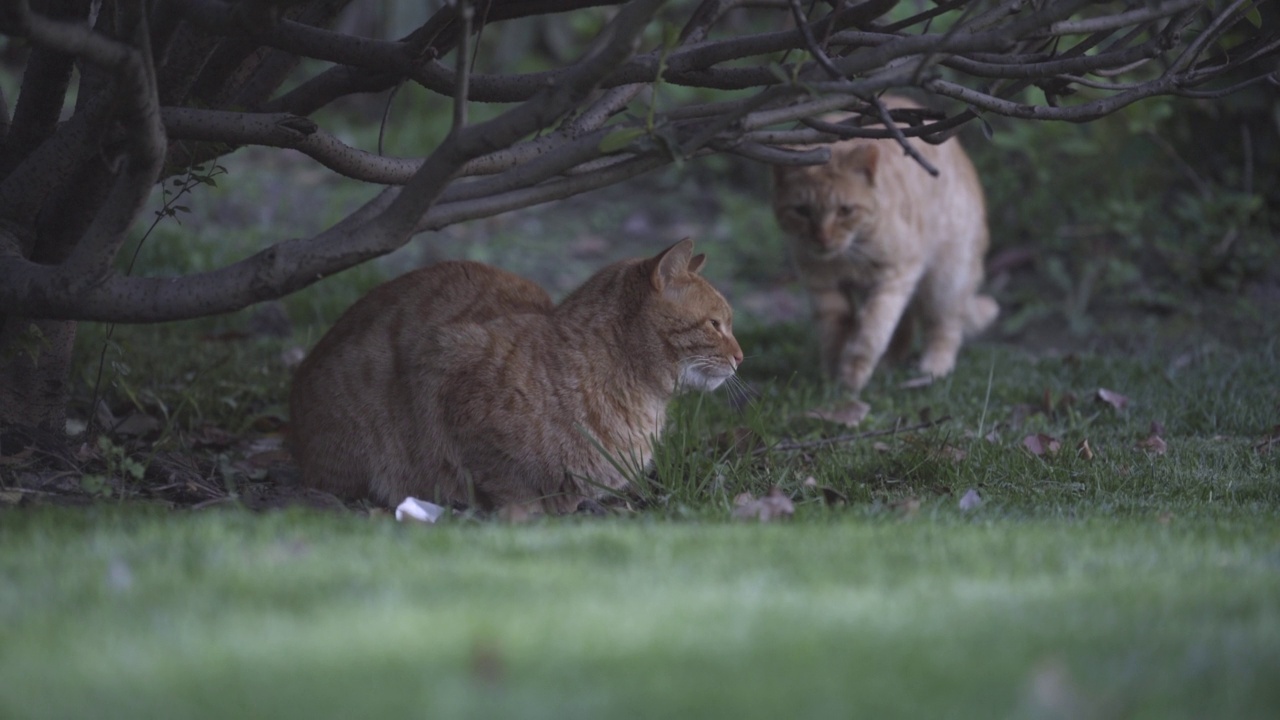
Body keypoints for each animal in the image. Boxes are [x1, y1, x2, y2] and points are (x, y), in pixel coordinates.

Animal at [768, 96, 998, 394]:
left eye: (844, 210)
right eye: (802, 211)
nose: (823, 238)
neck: (848, 256)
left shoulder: (896, 275)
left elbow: (872, 330)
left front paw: (851, 377)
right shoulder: (821, 285)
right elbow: (835, 330)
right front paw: (833, 375)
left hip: (944, 280)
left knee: (944, 327)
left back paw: (933, 369)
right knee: (907, 326)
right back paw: (889, 365)